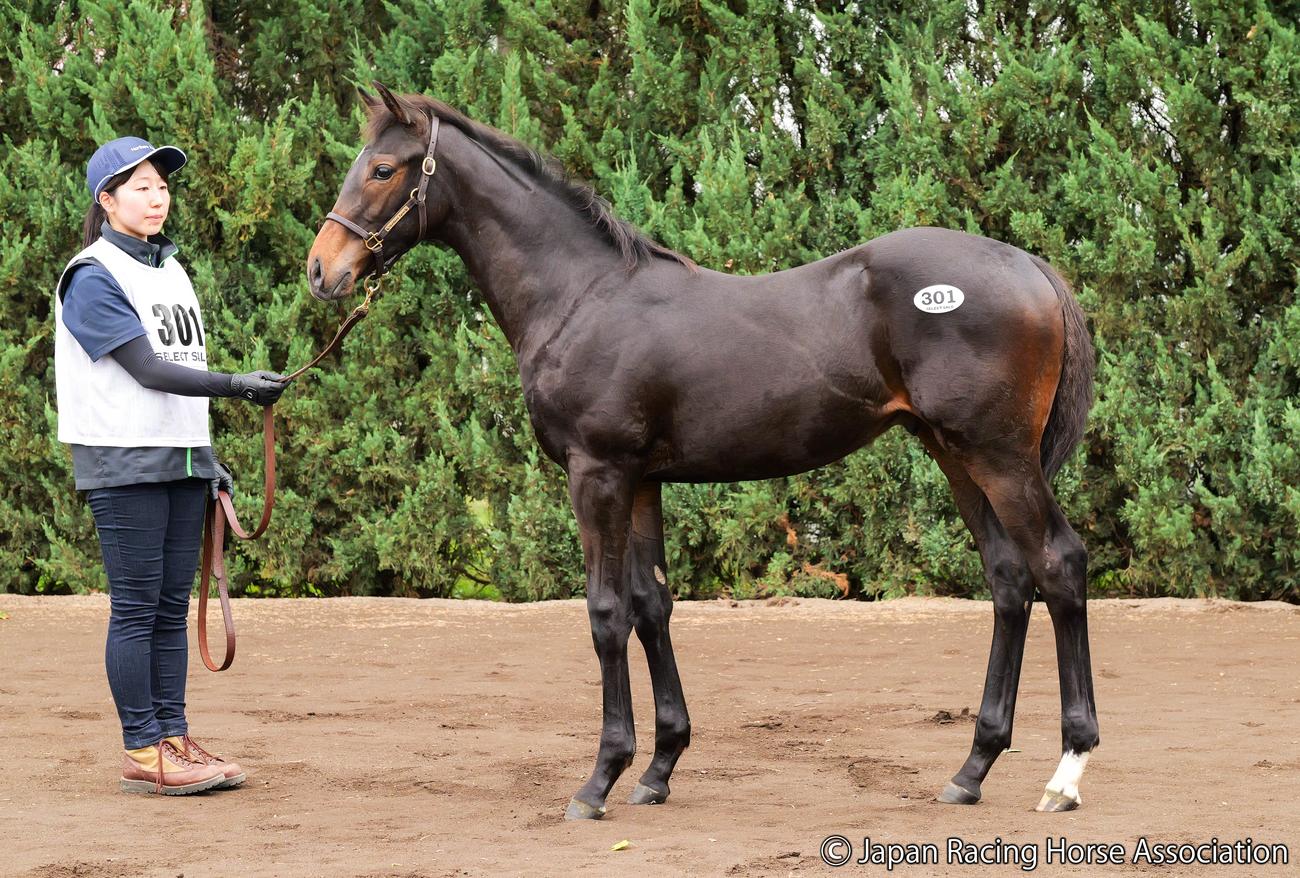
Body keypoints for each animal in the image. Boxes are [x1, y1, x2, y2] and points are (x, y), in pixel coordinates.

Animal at [306, 82, 1099, 819]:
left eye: (382, 168)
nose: (321, 270)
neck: (582, 297)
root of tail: (1027, 266)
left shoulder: (597, 473)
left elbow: (605, 612)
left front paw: (600, 779)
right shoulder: (642, 480)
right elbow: (652, 605)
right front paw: (658, 769)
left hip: (999, 457)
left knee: (1058, 565)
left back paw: (1066, 772)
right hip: (955, 455)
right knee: (1008, 580)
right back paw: (972, 768)